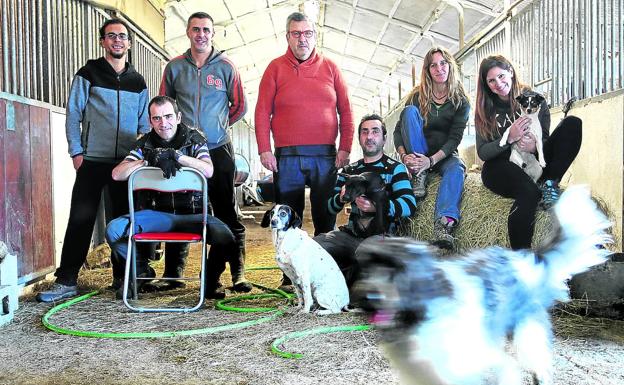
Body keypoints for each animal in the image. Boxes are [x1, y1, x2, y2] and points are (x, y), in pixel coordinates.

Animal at [354, 184, 612, 382]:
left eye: (393, 270)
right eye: (366, 270)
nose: (368, 297)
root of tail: (530, 257)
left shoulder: (482, 358)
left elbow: (507, 370)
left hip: (526, 333)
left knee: (538, 367)